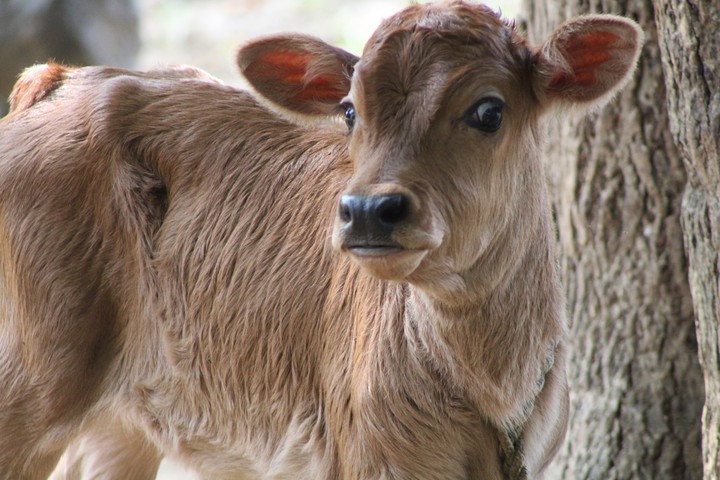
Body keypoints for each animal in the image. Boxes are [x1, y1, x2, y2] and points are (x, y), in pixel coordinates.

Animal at [0, 1, 642, 478]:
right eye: (350, 110)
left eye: (489, 111)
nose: (367, 211)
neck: (495, 381)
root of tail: (63, 78)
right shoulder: (370, 456)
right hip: (31, 370)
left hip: (123, 418)